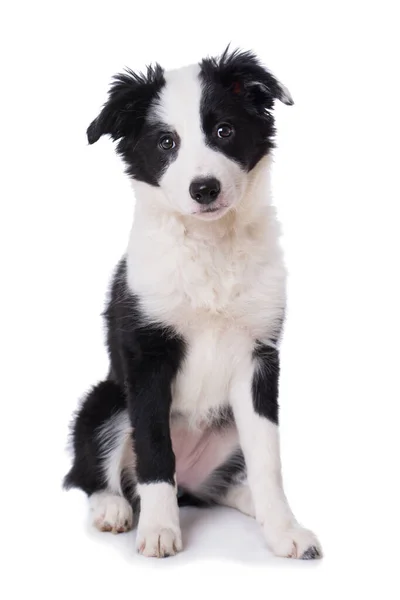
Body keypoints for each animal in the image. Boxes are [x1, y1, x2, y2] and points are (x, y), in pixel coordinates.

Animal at [65, 45, 322, 556]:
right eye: (166, 142)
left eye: (224, 130)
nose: (204, 188)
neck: (210, 245)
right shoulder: (146, 356)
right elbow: (154, 450)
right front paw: (159, 531)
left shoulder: (259, 359)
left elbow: (268, 459)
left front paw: (284, 529)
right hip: (106, 400)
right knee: (91, 473)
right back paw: (113, 508)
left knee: (217, 487)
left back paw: (252, 506)